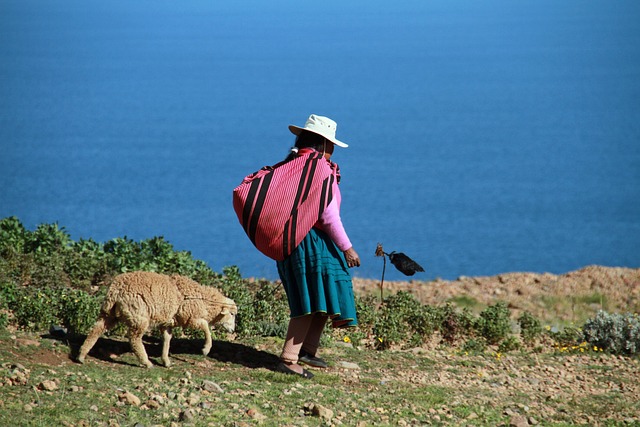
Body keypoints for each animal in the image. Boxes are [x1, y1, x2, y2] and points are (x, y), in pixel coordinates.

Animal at [77, 270, 238, 368]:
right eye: (232, 314)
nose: (233, 330)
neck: (203, 299)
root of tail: (115, 290)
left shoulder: (167, 322)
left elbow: (167, 340)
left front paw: (166, 360)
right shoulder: (190, 317)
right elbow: (206, 327)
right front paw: (206, 349)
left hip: (108, 314)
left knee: (96, 329)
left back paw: (81, 355)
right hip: (139, 316)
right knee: (134, 338)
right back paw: (146, 362)